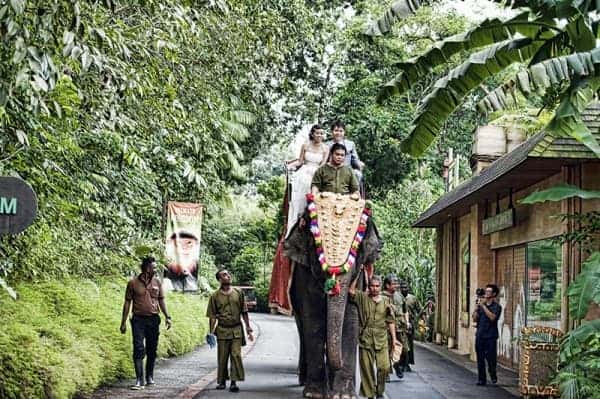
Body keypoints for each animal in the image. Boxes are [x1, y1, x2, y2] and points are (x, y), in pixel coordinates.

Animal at [284, 197, 380, 399]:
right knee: (302, 327)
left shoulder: (359, 278)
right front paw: (314, 394)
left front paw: (344, 395)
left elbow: (350, 318)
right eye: (316, 248)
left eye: (358, 250)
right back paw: (305, 380)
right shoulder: (304, 272)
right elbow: (313, 318)